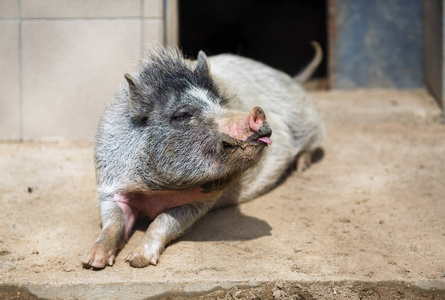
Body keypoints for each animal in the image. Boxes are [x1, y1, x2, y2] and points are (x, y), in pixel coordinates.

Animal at [80, 44, 322, 270]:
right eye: (183, 114)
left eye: (220, 103)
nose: (258, 112)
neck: (154, 190)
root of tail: (288, 78)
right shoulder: (108, 186)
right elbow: (114, 223)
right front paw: (91, 262)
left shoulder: (199, 203)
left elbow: (161, 221)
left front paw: (138, 260)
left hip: (308, 120)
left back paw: (301, 168)